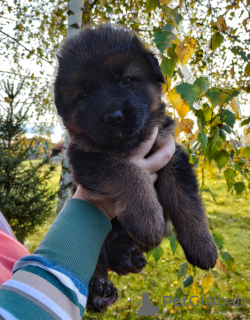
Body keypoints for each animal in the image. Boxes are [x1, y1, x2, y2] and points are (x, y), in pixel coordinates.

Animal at [53, 23, 218, 312]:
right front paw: (148, 220)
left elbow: (187, 202)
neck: (130, 146)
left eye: (126, 81)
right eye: (84, 95)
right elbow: (127, 173)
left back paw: (128, 258)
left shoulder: (172, 153)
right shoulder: (86, 159)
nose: (114, 117)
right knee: (94, 259)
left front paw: (203, 247)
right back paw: (99, 290)